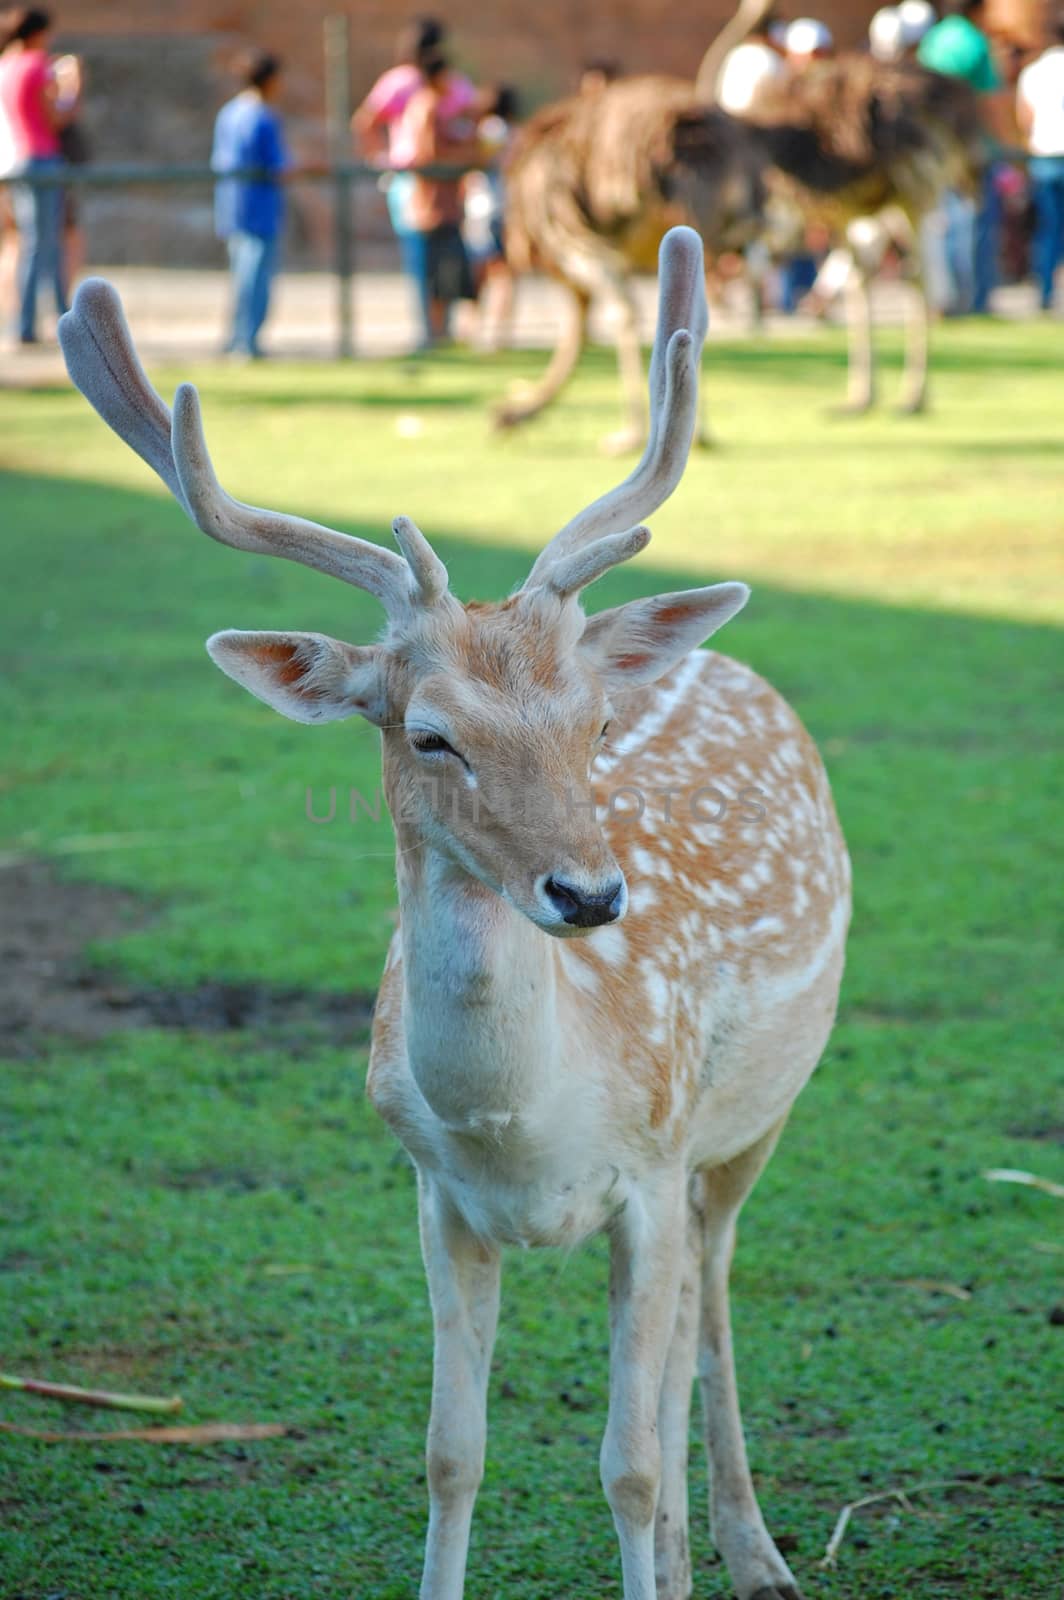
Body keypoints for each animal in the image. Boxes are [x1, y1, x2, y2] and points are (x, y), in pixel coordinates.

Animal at [60, 228, 844, 1600]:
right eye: (430, 734)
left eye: (592, 721)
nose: (588, 893)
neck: (517, 1127)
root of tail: (720, 654)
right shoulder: (433, 1194)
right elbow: (450, 1450)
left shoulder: (648, 1169)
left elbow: (624, 1464)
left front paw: (673, 1545)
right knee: (680, 1337)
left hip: (754, 1116)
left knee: (714, 1298)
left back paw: (752, 1551)